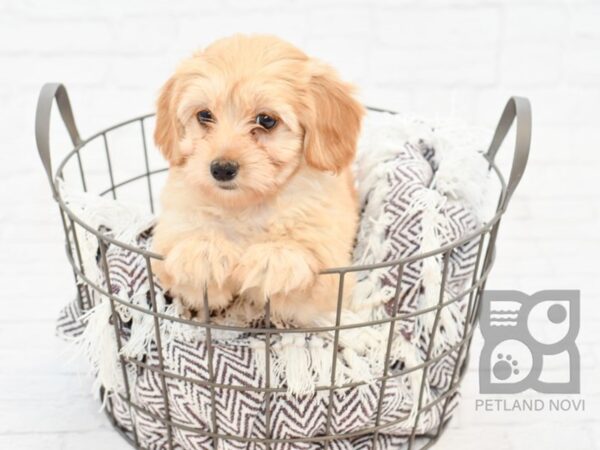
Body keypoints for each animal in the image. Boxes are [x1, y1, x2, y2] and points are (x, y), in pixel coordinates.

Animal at [152, 33, 364, 326]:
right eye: (204, 115)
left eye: (266, 120)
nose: (222, 169)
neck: (246, 206)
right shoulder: (168, 242)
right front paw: (204, 250)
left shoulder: (330, 280)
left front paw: (276, 256)